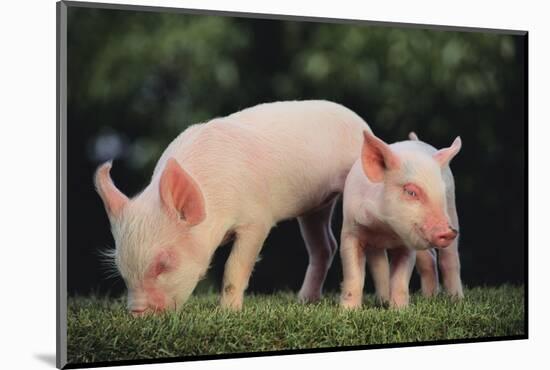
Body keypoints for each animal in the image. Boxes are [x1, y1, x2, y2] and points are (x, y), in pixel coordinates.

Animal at [95, 99, 370, 314]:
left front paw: (228, 312)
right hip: (315, 207)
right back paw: (304, 300)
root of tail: (361, 123)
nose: (137, 313)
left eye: (163, 264)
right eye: (120, 267)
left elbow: (234, 266)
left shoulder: (257, 219)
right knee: (324, 246)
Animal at [338, 130, 464, 310]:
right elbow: (356, 274)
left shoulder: (408, 243)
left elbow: (400, 279)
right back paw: (428, 298)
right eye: (411, 192)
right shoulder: (351, 230)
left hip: (452, 211)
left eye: (440, 191)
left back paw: (457, 300)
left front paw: (399, 311)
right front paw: (348, 311)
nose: (449, 232)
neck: (385, 228)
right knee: (428, 258)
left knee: (449, 259)